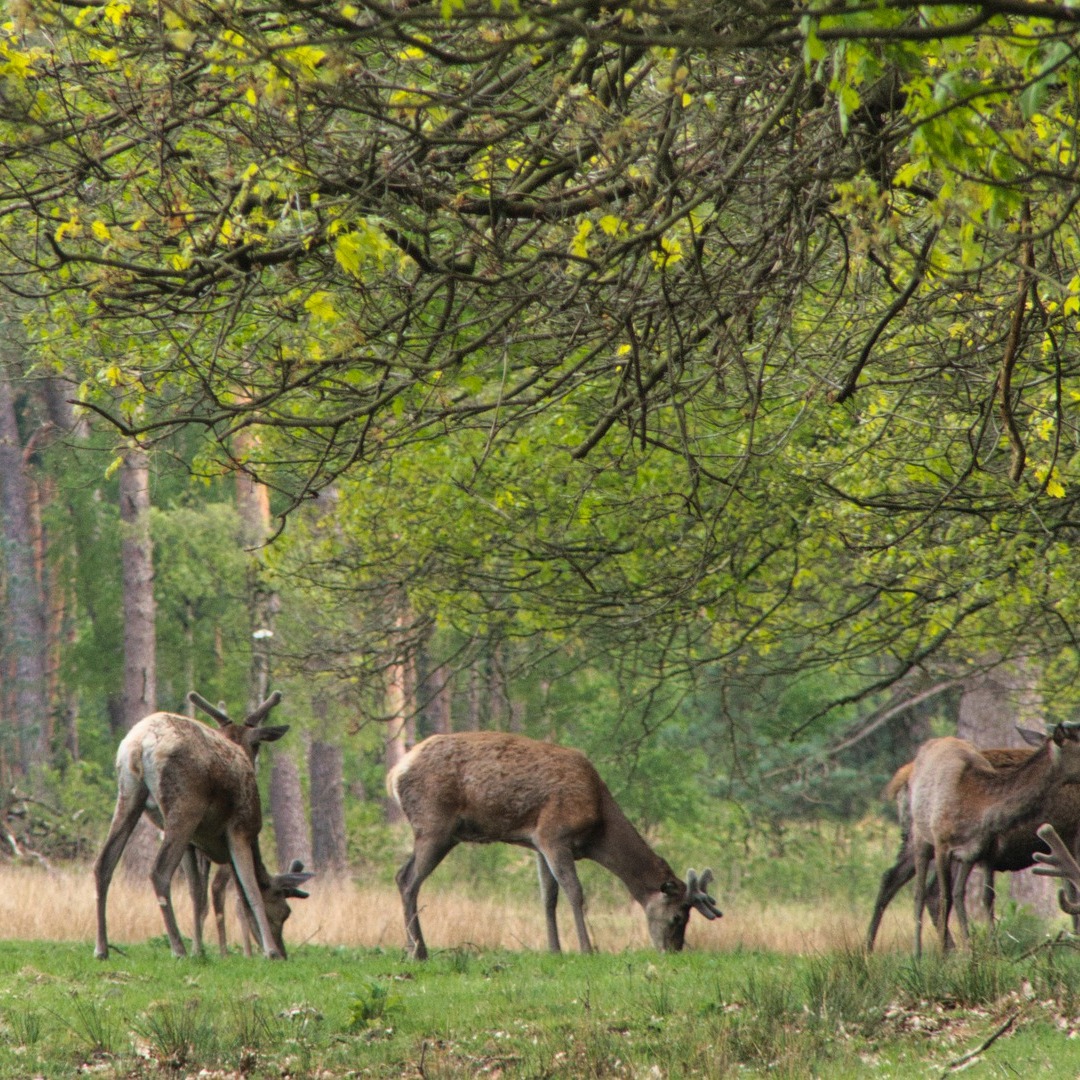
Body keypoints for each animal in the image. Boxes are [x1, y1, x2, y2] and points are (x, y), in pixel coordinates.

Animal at [93, 691, 315, 963]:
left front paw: (200, 950)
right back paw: (177, 948)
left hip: (128, 794)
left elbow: (197, 894)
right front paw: (268, 950)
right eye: (285, 912)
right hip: (184, 807)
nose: (283, 953)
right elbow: (249, 890)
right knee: (159, 871)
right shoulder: (241, 829)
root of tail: (139, 743)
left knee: (104, 863)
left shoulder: (194, 843)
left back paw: (102, 948)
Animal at [384, 730, 721, 959]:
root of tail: (395, 773)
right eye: (678, 917)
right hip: (435, 826)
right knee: (408, 879)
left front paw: (554, 949)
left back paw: (411, 948)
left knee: (402, 876)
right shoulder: (555, 834)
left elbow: (548, 897)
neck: (598, 826)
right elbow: (575, 891)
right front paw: (587, 948)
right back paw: (419, 950)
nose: (672, 950)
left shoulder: (537, 843)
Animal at [864, 734, 1080, 954]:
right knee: (922, 890)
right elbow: (1072, 893)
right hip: (921, 840)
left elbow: (982, 896)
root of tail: (902, 776)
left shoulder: (984, 851)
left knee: (896, 878)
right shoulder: (1070, 836)